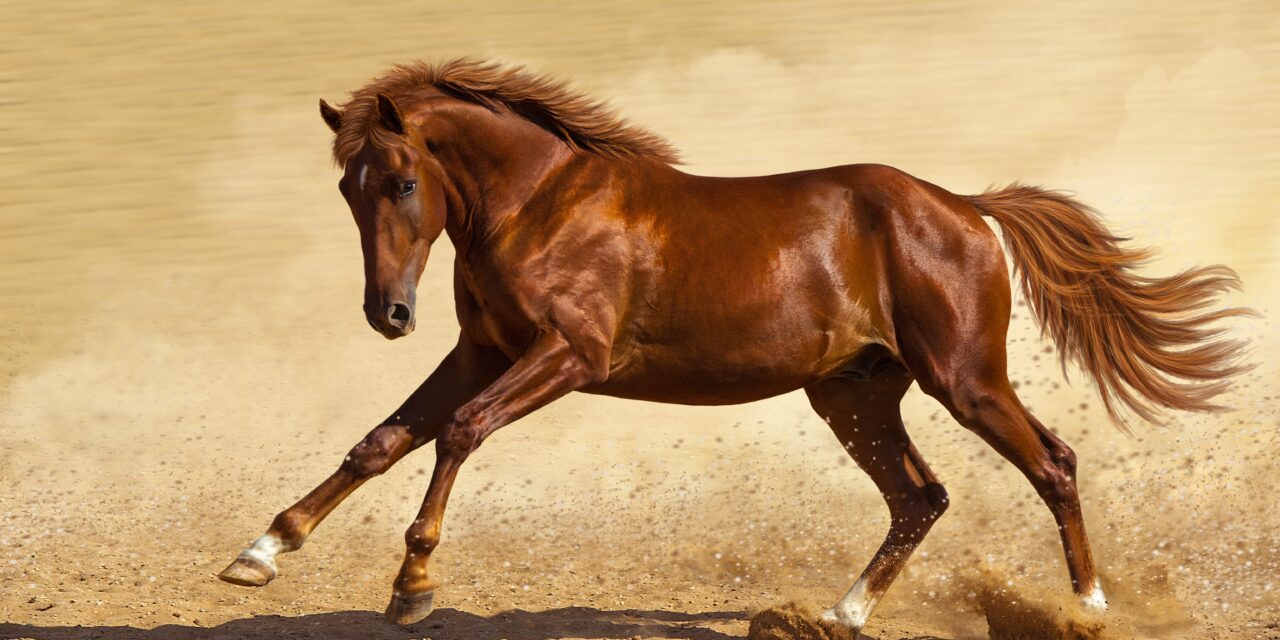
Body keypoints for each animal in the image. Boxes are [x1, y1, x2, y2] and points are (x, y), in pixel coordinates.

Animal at [217, 59, 1252, 634]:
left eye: (400, 181)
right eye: (346, 187)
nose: (387, 314)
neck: (539, 204)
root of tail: (960, 206)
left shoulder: (568, 357)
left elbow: (459, 432)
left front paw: (412, 585)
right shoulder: (484, 350)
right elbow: (382, 442)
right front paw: (262, 551)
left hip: (964, 379)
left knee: (1054, 463)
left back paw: (1088, 609)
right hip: (854, 395)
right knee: (921, 496)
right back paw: (840, 615)